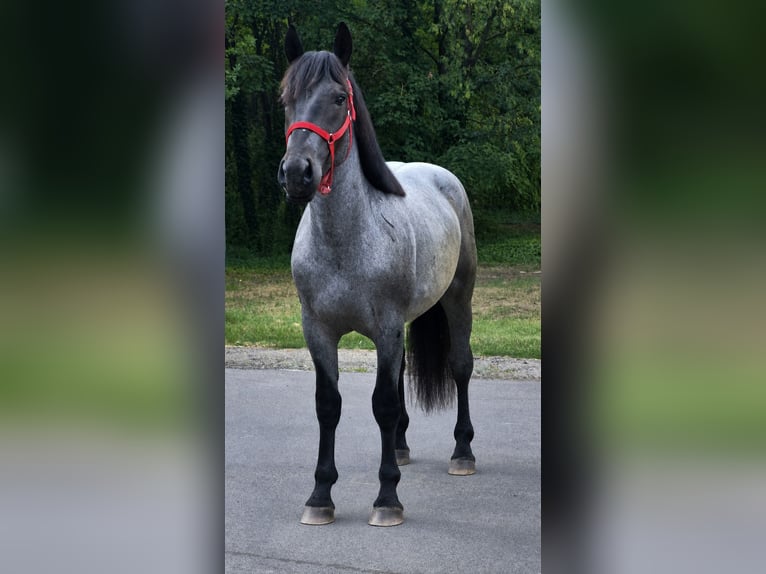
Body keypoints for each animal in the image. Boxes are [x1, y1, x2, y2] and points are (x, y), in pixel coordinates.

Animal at [277, 22, 477, 527]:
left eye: (338, 98)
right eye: (287, 98)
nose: (297, 173)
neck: (345, 243)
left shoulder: (386, 328)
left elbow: (382, 405)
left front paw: (387, 497)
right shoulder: (318, 331)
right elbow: (329, 406)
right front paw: (320, 496)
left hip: (458, 298)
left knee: (460, 366)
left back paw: (463, 452)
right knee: (403, 374)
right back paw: (402, 448)